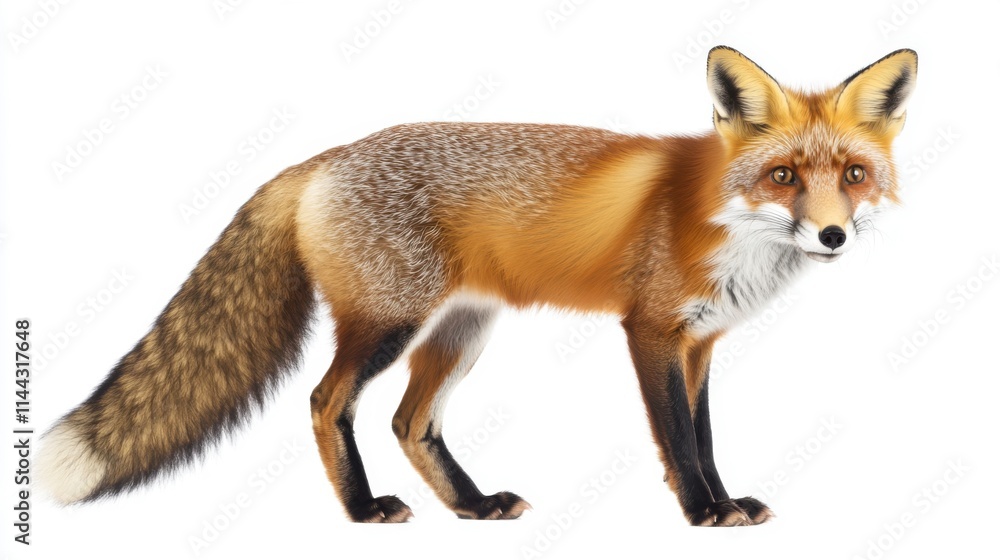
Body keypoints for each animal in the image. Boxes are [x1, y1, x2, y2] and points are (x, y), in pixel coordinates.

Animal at [37, 46, 917, 526]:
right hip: (386, 324)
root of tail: (322, 158)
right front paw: (704, 513)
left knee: (409, 422)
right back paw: (362, 511)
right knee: (327, 403)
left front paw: (723, 501)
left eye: (852, 175)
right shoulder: (652, 331)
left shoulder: (698, 342)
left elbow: (701, 438)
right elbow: (678, 440)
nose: (833, 235)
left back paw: (471, 506)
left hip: (460, 335)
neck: (722, 221)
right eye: (782, 176)